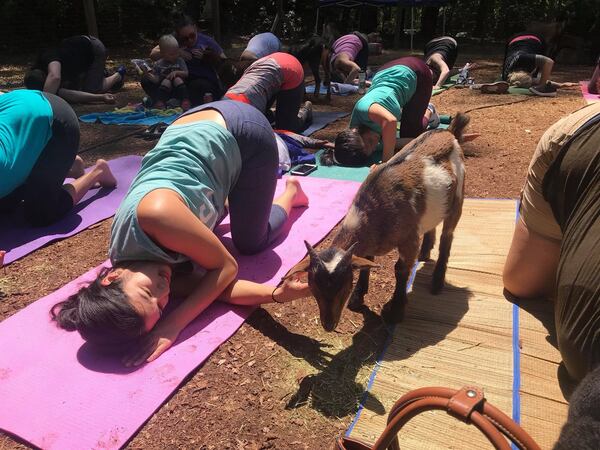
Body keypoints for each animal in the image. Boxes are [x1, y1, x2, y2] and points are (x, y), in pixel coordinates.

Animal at [284, 113, 472, 330]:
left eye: (343, 288)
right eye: (313, 288)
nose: (328, 325)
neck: (375, 208)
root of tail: (448, 132)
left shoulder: (409, 240)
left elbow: (400, 270)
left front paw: (396, 311)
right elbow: (367, 262)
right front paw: (358, 298)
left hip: (458, 198)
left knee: (447, 236)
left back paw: (437, 282)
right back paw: (425, 252)